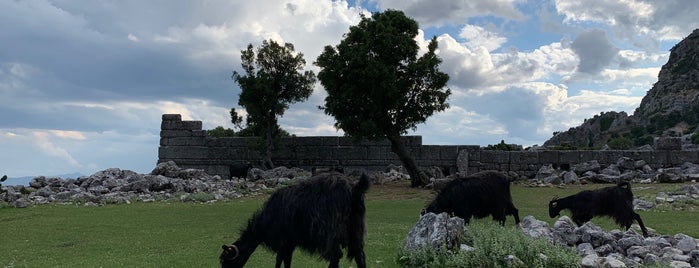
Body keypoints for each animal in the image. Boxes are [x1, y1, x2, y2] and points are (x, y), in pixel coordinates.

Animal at [220, 172, 372, 268]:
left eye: (224, 261)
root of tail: (353, 190)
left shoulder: (283, 239)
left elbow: (279, 259)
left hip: (328, 233)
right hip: (356, 228)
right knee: (359, 255)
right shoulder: (290, 242)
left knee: (336, 256)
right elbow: (287, 260)